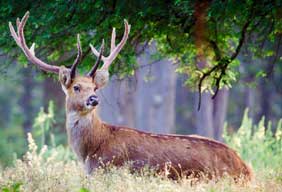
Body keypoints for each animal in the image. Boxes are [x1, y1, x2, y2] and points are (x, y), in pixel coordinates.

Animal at [8, 11, 252, 182]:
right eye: (76, 87)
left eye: (94, 88)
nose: (93, 100)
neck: (90, 151)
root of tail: (246, 169)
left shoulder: (108, 170)